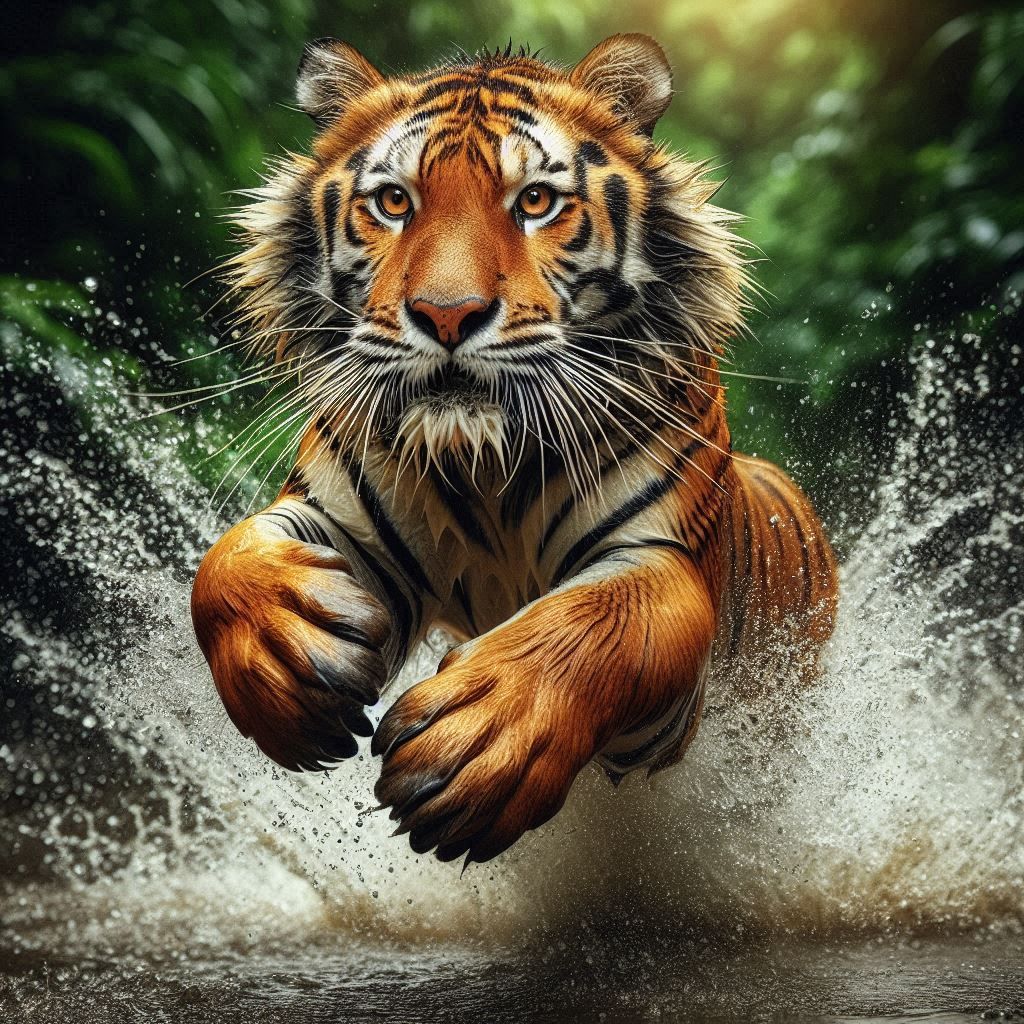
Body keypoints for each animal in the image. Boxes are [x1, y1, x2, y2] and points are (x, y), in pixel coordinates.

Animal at [190, 34, 838, 866]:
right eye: (394, 202)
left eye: (534, 202)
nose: (446, 314)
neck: (482, 467)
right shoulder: (339, 520)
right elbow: (224, 561)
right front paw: (284, 658)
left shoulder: (659, 565)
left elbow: (605, 624)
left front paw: (480, 741)